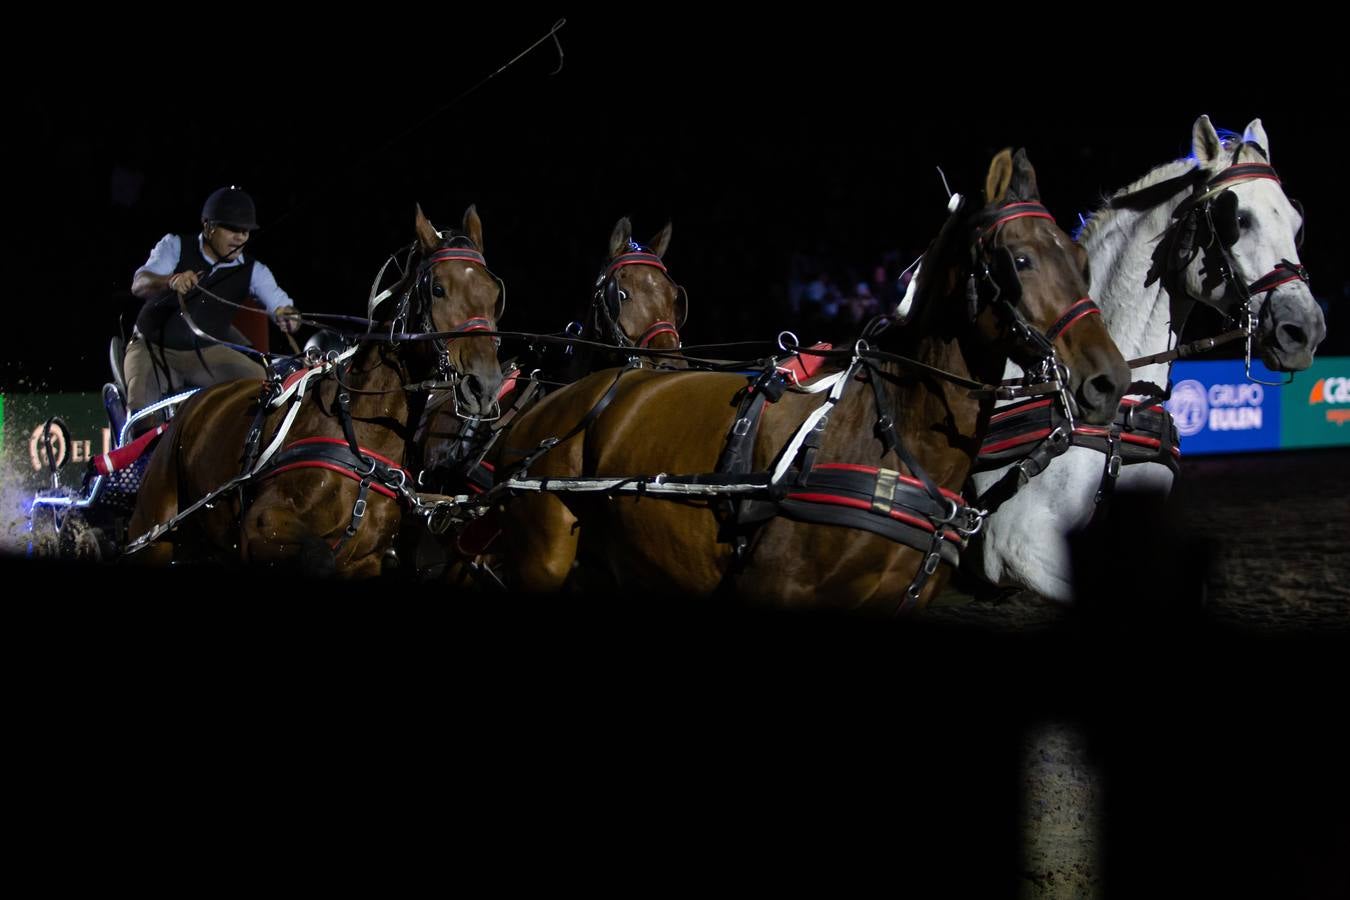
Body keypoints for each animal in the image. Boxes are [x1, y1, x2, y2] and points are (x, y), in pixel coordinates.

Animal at [127, 203, 502, 577]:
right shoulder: (261, 526)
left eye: (495, 294)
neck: (359, 437)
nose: (484, 385)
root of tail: (194, 401)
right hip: (152, 536)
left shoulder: (366, 560)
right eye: (438, 289)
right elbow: (318, 556)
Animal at [494, 149, 1128, 612]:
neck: (890, 440)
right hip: (541, 561)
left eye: (1080, 260)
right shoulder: (774, 589)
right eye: (1019, 261)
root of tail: (545, 409)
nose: (1108, 378)